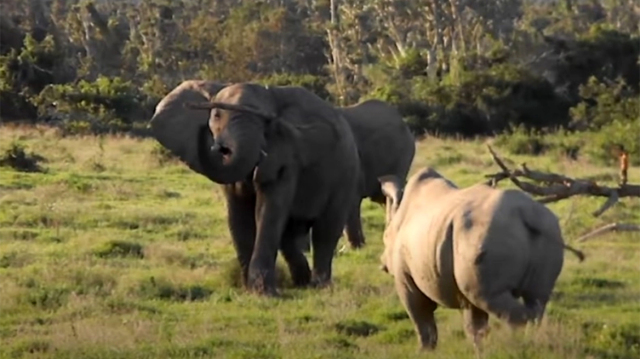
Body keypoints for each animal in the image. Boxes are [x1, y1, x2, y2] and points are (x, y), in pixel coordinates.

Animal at [148, 80, 362, 296]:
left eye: (264, 122)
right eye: (216, 116)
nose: (217, 145)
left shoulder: (288, 153)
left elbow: (267, 211)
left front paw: (264, 294)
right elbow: (237, 214)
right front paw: (248, 290)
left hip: (347, 172)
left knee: (325, 231)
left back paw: (319, 286)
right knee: (288, 237)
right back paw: (301, 282)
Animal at [380, 168, 584, 354]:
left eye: (384, 239)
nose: (382, 264)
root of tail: (525, 213)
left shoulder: (405, 278)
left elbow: (421, 317)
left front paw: (424, 352)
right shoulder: (464, 284)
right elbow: (475, 325)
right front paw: (480, 351)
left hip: (486, 234)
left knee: (494, 299)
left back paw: (517, 346)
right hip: (547, 227)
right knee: (537, 298)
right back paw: (533, 344)